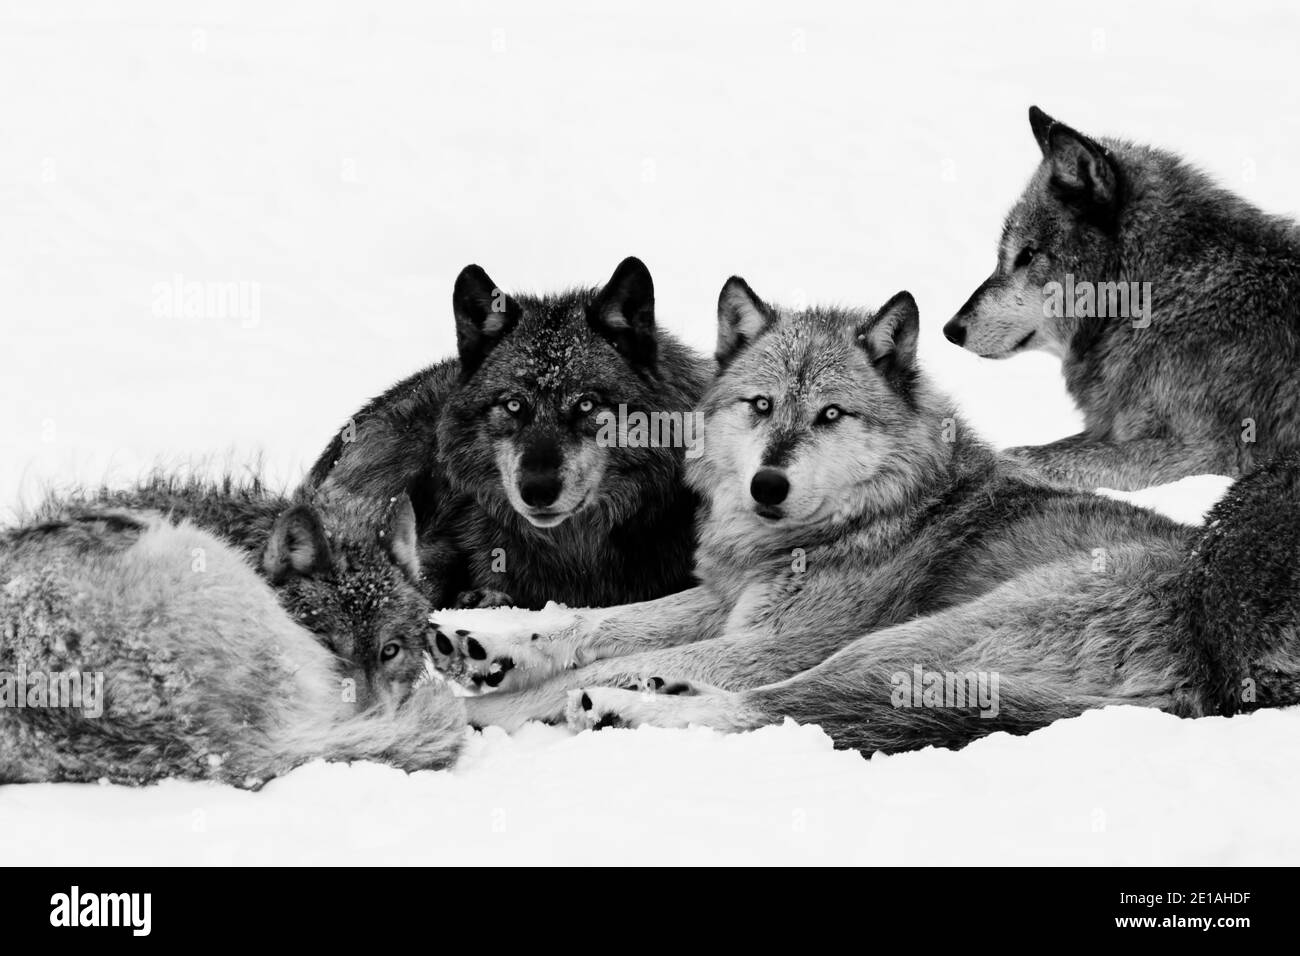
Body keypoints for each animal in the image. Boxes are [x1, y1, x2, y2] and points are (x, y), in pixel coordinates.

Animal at [436, 277, 1300, 754]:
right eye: (762, 405)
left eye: (830, 415)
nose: (768, 485)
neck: (872, 514)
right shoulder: (728, 603)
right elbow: (598, 623)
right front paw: (484, 642)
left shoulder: (776, 640)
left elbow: (591, 664)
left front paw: (485, 705)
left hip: (910, 641)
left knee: (781, 709)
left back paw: (623, 707)